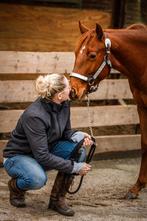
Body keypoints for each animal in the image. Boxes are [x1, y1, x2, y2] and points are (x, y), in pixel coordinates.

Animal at [69, 21, 147, 199]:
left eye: (92, 55)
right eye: (76, 53)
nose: (73, 90)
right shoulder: (142, 107)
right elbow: (145, 143)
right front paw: (137, 187)